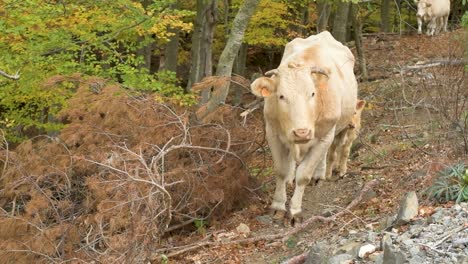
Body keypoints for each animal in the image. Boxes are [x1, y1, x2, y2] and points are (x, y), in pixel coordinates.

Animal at [250, 31, 356, 225]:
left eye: (312, 93)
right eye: (281, 96)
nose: (302, 132)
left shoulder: (323, 136)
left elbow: (304, 175)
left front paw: (295, 210)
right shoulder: (273, 133)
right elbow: (281, 171)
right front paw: (278, 206)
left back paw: (319, 175)